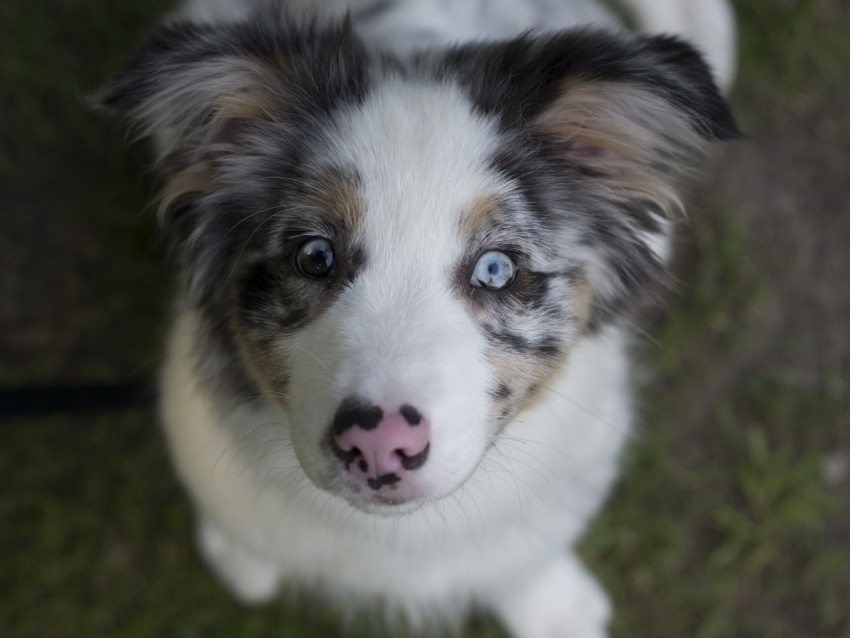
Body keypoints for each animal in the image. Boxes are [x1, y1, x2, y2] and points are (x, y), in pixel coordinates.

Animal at [97, 0, 736, 636]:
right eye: (314, 255)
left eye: (496, 269)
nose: (380, 445)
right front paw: (241, 559)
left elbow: (526, 555)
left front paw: (555, 609)